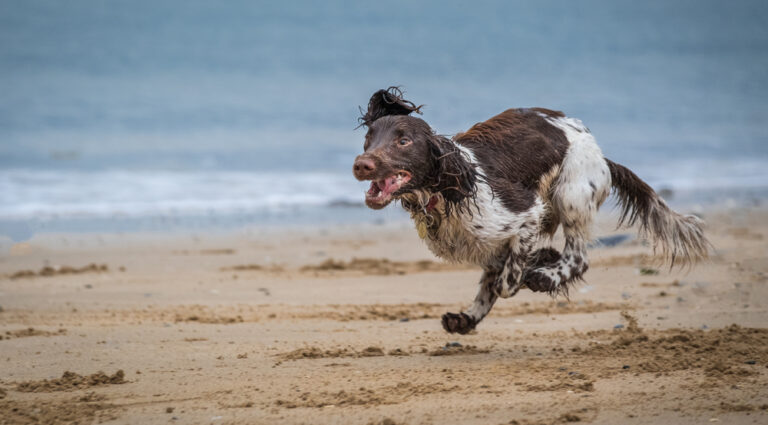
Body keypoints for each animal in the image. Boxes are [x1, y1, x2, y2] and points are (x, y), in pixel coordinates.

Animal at [354, 86, 708, 332]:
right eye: (369, 137)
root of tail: (601, 155)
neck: (448, 189)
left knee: (578, 257)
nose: (361, 164)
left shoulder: (526, 214)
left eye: (403, 141)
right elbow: (492, 281)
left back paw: (546, 276)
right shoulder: (491, 245)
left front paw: (538, 266)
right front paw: (470, 315)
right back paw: (469, 317)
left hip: (570, 193)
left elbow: (506, 282)